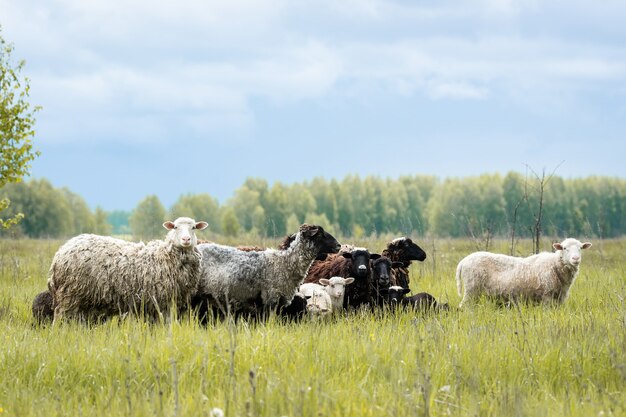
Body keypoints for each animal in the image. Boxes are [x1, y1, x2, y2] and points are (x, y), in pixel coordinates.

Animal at [47, 216, 207, 324]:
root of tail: (60, 254)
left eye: (194, 228)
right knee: (59, 316)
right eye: (175, 227)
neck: (165, 256)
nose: (186, 239)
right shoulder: (162, 301)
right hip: (69, 294)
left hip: (83, 298)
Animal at [454, 236, 588, 308]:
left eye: (580, 248)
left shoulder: (559, 298)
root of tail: (463, 261)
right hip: (472, 289)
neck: (554, 265)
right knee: (463, 306)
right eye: (565, 248)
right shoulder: (547, 295)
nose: (576, 259)